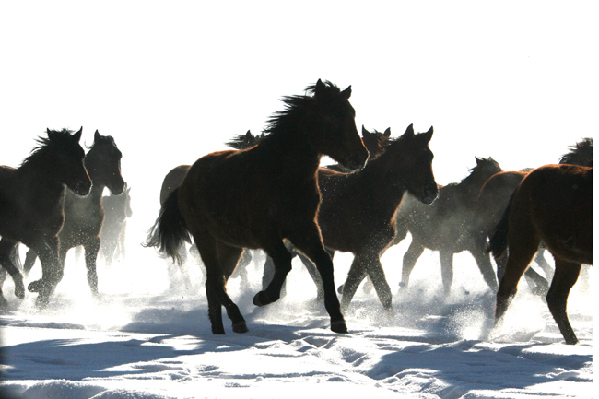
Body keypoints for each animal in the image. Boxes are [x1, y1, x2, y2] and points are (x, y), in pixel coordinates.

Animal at [0, 128, 91, 306]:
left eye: (82, 154)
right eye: (62, 156)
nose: (84, 185)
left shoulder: (51, 237)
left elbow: (57, 269)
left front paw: (40, 291)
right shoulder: (31, 237)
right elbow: (49, 260)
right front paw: (36, 286)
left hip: (9, 236)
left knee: (2, 254)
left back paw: (16, 292)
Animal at [22, 133, 124, 298]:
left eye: (118, 155)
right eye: (99, 157)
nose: (118, 185)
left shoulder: (92, 243)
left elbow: (92, 278)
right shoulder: (62, 246)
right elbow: (57, 274)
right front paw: (37, 287)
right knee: (29, 261)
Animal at [146, 79, 370, 334]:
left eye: (351, 114)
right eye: (330, 117)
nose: (360, 157)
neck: (282, 175)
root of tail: (184, 183)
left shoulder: (304, 228)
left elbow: (323, 261)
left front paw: (337, 318)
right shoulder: (266, 233)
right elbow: (284, 261)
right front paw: (263, 297)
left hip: (230, 245)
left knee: (214, 283)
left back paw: (220, 329)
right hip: (204, 237)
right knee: (215, 279)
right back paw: (237, 319)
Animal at [392, 158, 504, 296]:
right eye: (493, 172)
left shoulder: (478, 249)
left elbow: (490, 276)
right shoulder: (446, 248)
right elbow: (447, 278)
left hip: (419, 240)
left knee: (409, 258)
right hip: (399, 234)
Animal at [492, 164, 596, 346]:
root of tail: (520, 187)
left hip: (566, 257)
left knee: (556, 297)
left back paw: (573, 341)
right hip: (523, 242)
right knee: (508, 288)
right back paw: (493, 334)